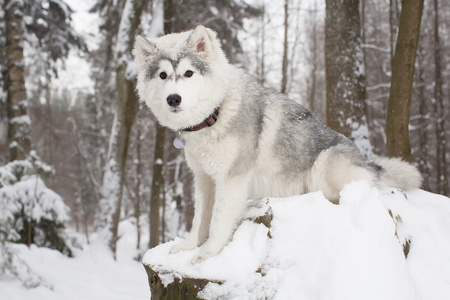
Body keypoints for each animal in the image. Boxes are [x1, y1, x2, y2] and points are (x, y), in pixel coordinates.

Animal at [133, 24, 422, 262]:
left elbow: (218, 221)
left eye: (188, 73)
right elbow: (199, 218)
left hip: (325, 163)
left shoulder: (232, 179)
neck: (216, 113)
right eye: (162, 75)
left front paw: (208, 254)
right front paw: (189, 246)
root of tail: (368, 162)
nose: (173, 99)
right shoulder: (204, 178)